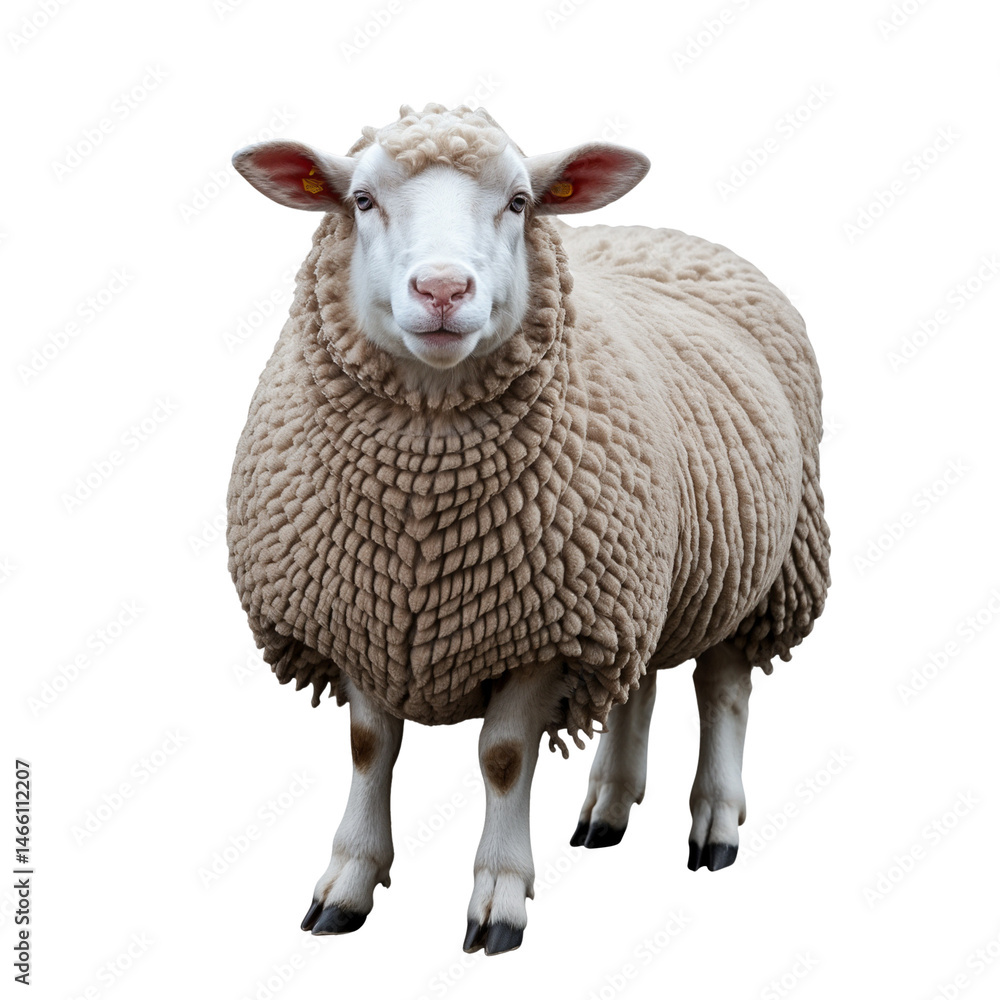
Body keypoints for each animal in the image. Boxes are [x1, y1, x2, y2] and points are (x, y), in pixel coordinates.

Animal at [226, 102, 831, 955]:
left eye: (518, 202)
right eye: (362, 200)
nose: (443, 289)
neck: (420, 524)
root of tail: (668, 234)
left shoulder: (546, 634)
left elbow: (505, 757)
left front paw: (499, 898)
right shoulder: (363, 615)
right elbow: (371, 749)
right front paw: (346, 883)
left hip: (760, 568)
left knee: (723, 690)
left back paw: (714, 824)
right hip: (641, 577)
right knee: (640, 685)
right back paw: (607, 807)